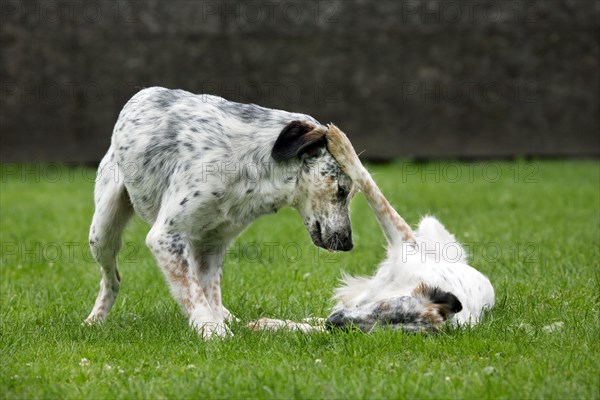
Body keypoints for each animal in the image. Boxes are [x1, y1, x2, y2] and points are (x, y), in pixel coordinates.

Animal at [85, 87, 356, 338]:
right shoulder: (165, 236)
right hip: (102, 232)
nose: (348, 243)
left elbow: (208, 292)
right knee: (112, 279)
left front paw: (221, 323)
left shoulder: (213, 243)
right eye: (342, 190)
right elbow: (194, 293)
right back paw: (94, 320)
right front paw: (213, 331)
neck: (248, 167)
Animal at [251, 126, 494, 334]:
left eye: (382, 331)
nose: (336, 323)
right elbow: (370, 185)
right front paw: (342, 143)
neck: (400, 286)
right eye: (383, 308)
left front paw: (269, 324)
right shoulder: (404, 242)